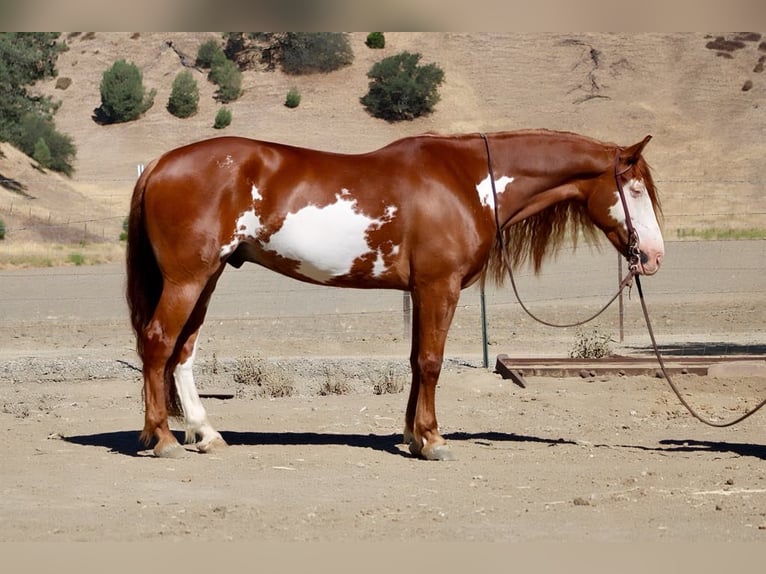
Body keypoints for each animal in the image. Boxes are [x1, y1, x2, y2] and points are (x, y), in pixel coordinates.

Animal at [126, 129, 664, 460]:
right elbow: (431, 361)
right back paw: (164, 439)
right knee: (158, 343)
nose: (654, 256)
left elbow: (415, 360)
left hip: (209, 276)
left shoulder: (423, 291)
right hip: (187, 278)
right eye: (636, 189)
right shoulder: (439, 287)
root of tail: (159, 164)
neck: (468, 181)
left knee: (183, 352)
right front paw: (433, 440)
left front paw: (412, 436)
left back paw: (205, 433)